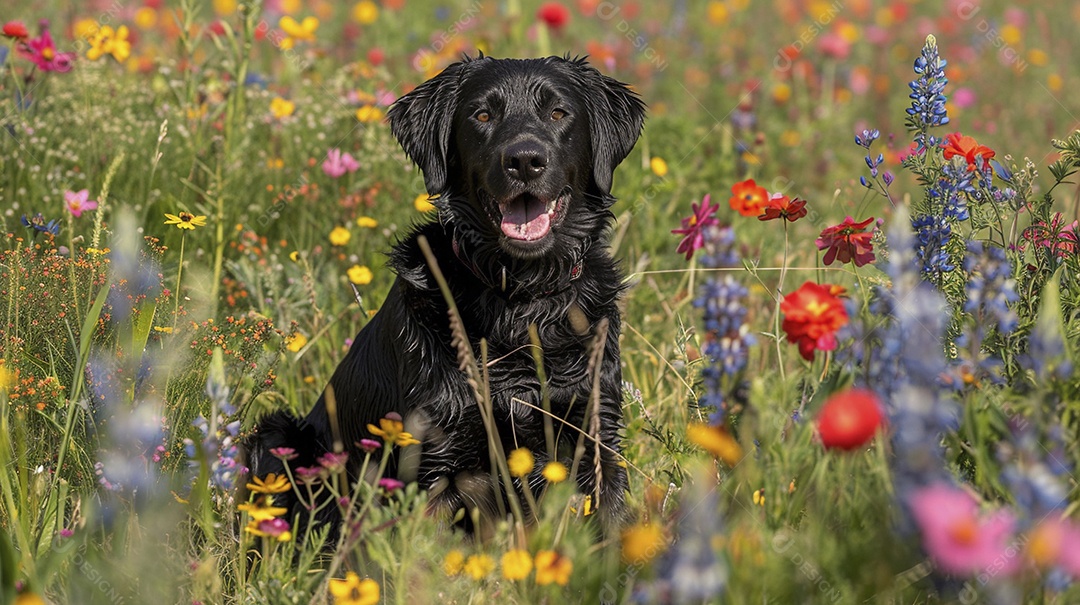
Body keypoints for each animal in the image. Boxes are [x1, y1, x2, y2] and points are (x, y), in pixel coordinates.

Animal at [248, 54, 643, 531]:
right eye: (483, 115)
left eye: (558, 113)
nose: (525, 160)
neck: (521, 298)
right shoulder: (434, 460)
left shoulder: (596, 435)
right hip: (274, 437)